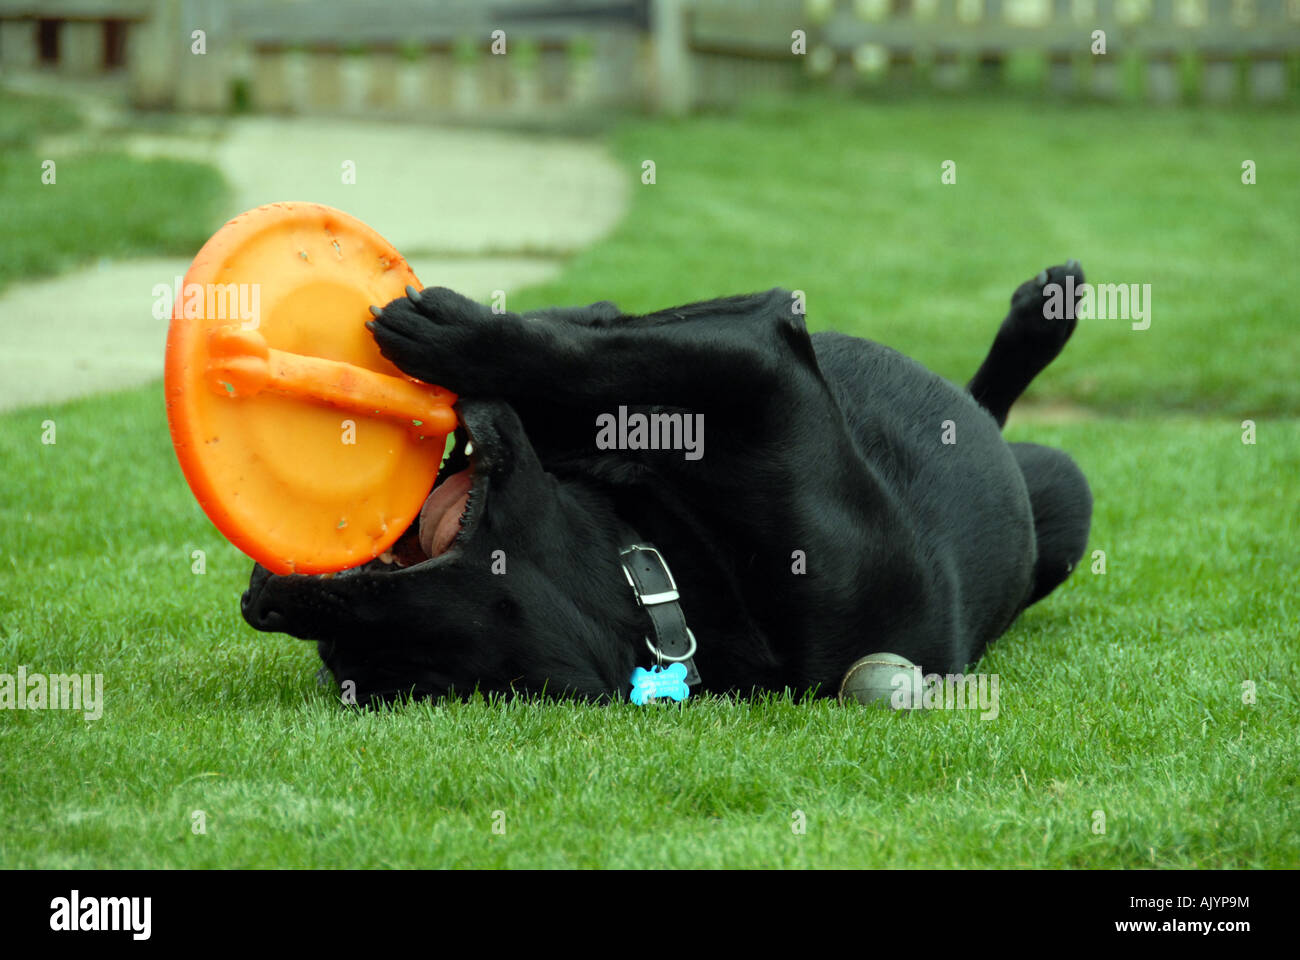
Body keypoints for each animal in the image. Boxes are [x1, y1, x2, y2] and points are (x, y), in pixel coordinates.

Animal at [241, 261, 1086, 702]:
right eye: (339, 658)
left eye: (356, 639)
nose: (259, 603)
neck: (664, 570)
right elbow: (610, 336)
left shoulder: (761, 366)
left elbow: (594, 345)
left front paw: (462, 334)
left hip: (1068, 487)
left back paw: (1048, 309)